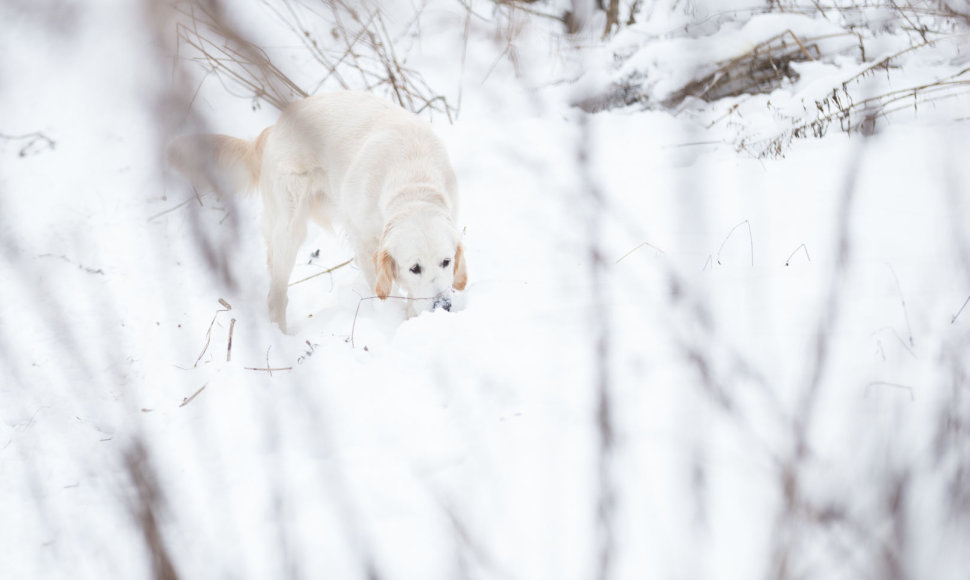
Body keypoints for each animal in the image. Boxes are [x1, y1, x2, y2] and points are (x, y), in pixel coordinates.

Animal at [168, 92, 466, 334]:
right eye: (414, 268)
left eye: (446, 262)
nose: (443, 306)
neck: (411, 179)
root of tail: (275, 127)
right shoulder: (364, 243)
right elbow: (386, 290)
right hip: (290, 227)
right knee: (275, 296)